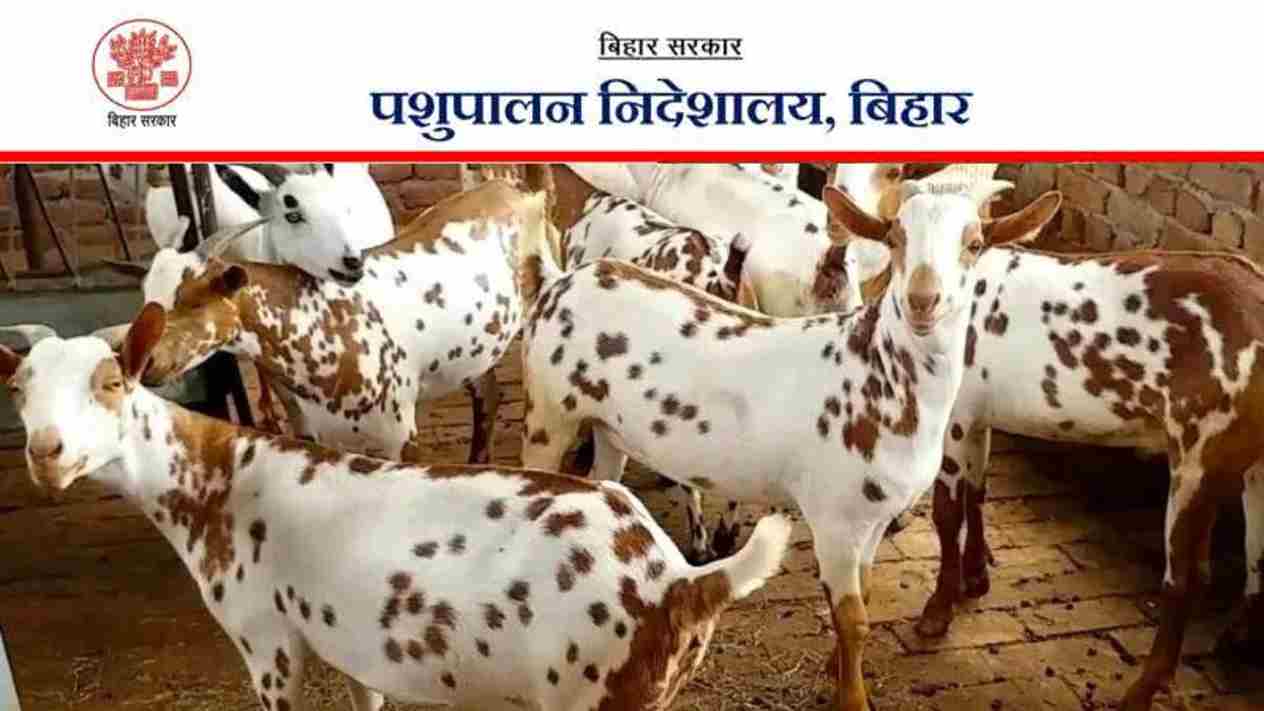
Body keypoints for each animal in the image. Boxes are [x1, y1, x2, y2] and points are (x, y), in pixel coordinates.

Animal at [0, 303, 790, 711]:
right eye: (19, 391)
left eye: (110, 382)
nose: (46, 451)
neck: (214, 476)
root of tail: (682, 580)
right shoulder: (351, 640)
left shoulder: (263, 639)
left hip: (590, 693)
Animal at [134, 180, 547, 465]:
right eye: (146, 295)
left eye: (195, 298)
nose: (144, 360)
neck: (319, 320)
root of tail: (514, 189)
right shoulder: (309, 429)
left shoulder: (399, 434)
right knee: (488, 394)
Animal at [518, 176, 1061, 709]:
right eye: (895, 239)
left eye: (975, 244)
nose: (923, 300)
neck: (880, 377)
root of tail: (560, 281)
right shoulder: (835, 516)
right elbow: (853, 619)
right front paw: (851, 697)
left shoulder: (875, 519)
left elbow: (865, 593)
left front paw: (834, 670)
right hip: (548, 413)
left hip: (608, 428)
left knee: (603, 473)